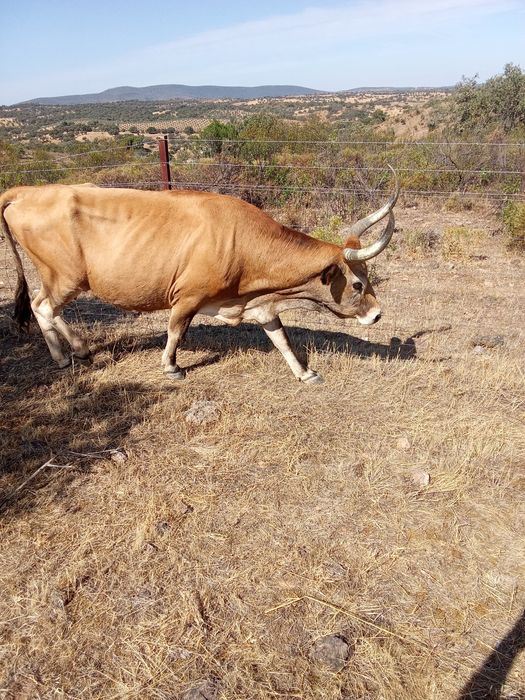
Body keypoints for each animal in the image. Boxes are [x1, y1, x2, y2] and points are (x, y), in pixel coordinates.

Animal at [1, 169, 399, 383]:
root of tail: (28, 192)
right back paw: (64, 355)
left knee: (45, 307)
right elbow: (176, 331)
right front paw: (171, 368)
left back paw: (77, 350)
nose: (378, 314)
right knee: (43, 306)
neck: (240, 239)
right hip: (65, 277)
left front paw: (304, 373)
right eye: (357, 283)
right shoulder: (187, 297)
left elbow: (282, 339)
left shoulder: (259, 303)